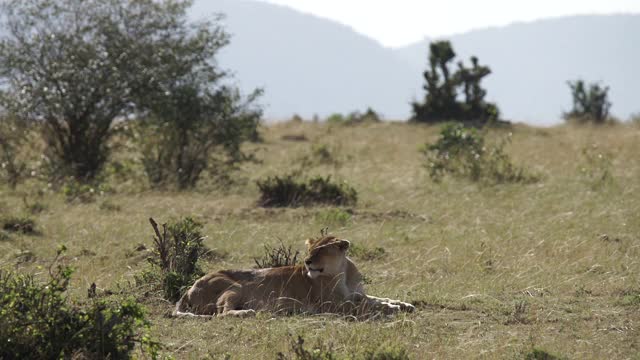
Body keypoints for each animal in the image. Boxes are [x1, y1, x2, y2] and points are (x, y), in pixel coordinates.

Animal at [175, 236, 416, 318]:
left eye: (321, 250)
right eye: (310, 250)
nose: (307, 261)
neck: (343, 273)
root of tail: (188, 289)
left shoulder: (355, 294)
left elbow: (376, 299)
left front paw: (404, 304)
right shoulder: (333, 304)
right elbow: (367, 306)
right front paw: (392, 309)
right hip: (235, 287)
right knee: (221, 313)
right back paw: (248, 312)